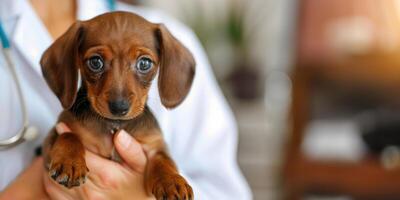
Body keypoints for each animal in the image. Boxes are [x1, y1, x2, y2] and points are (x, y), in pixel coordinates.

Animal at [40, 11, 195, 200]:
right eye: (95, 62)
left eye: (144, 63)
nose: (119, 107)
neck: (115, 125)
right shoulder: (55, 134)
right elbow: (69, 135)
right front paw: (69, 162)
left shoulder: (154, 145)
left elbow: (163, 159)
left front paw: (172, 181)